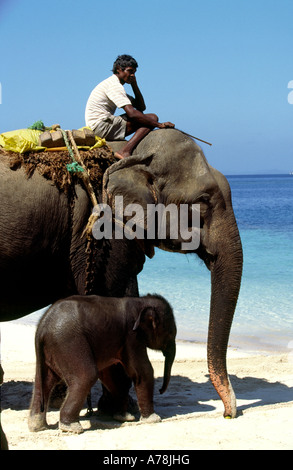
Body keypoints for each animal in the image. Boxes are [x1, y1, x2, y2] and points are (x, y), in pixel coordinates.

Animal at [0, 129, 242, 418]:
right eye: (202, 202)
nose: (228, 413)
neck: (130, 155)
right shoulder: (104, 232)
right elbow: (110, 296)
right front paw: (121, 411)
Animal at [28, 294, 176, 434]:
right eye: (170, 333)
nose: (161, 390)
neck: (140, 301)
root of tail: (41, 328)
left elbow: (110, 375)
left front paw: (124, 417)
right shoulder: (132, 336)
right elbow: (142, 371)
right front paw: (153, 419)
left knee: (43, 383)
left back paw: (38, 427)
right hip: (68, 343)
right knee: (86, 376)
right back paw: (71, 427)